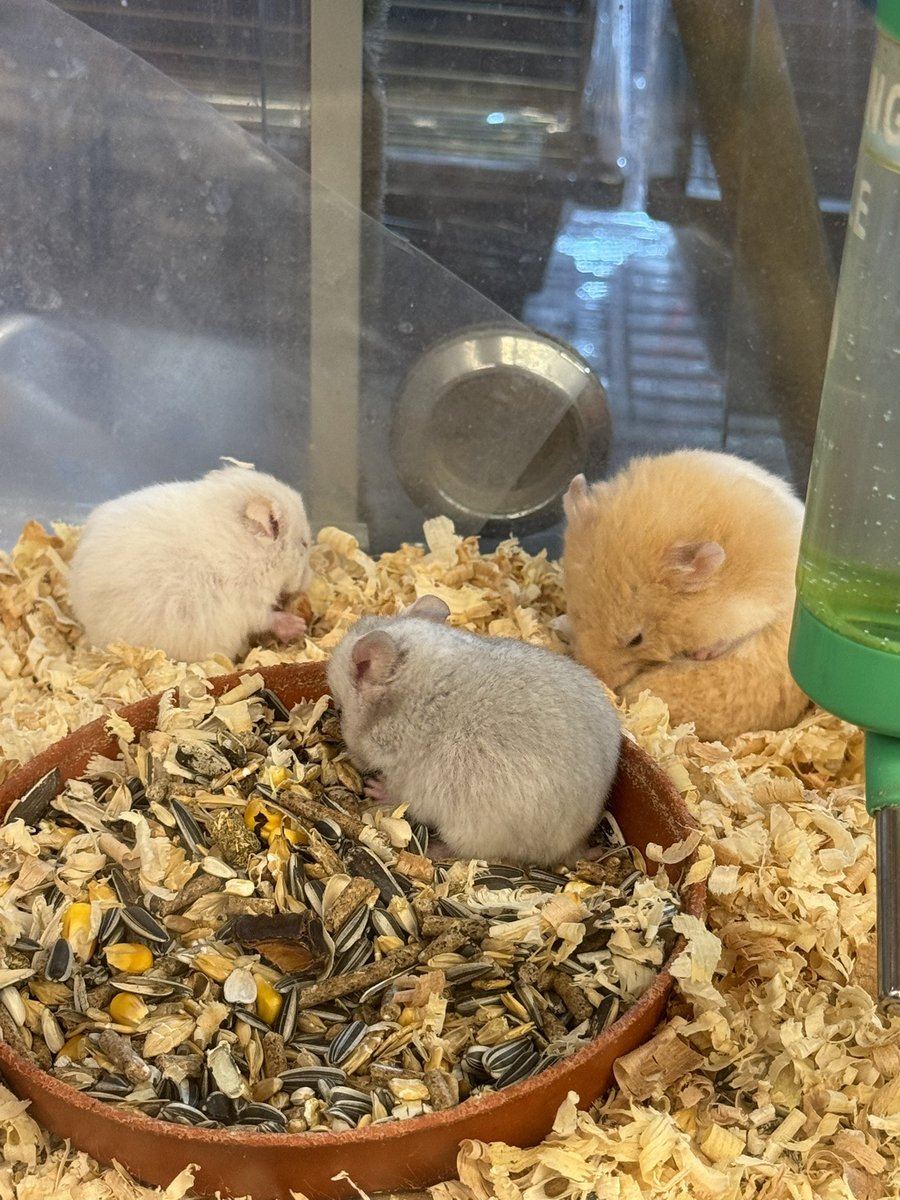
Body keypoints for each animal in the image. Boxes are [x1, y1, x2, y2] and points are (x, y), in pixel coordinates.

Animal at [325, 594, 622, 868]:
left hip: (473, 830)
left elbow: (397, 792)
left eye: (340, 710)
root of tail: (575, 847)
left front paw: (374, 787)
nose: (353, 761)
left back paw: (434, 850)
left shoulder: (407, 777)